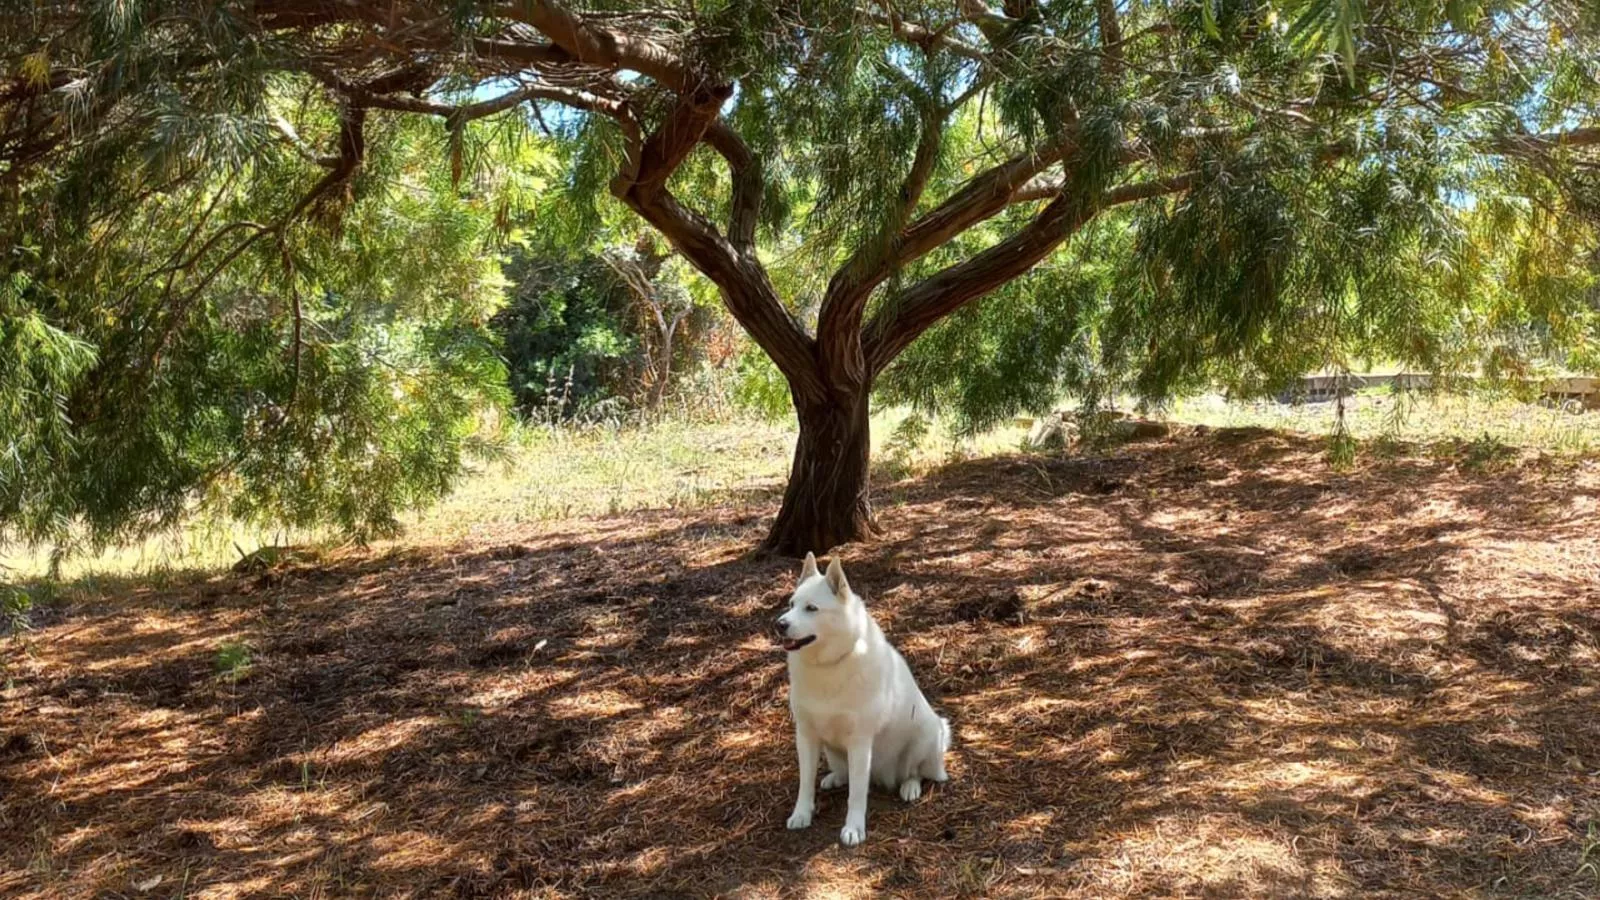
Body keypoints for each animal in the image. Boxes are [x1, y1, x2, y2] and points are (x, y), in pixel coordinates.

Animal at [777, 550, 947, 845]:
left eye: (811, 608)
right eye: (791, 604)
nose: (779, 624)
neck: (828, 666)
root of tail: (885, 777)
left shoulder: (859, 741)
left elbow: (856, 794)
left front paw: (854, 828)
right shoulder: (806, 736)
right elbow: (805, 783)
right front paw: (802, 813)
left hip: (924, 735)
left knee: (916, 773)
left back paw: (909, 787)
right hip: (832, 751)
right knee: (844, 773)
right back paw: (835, 777)